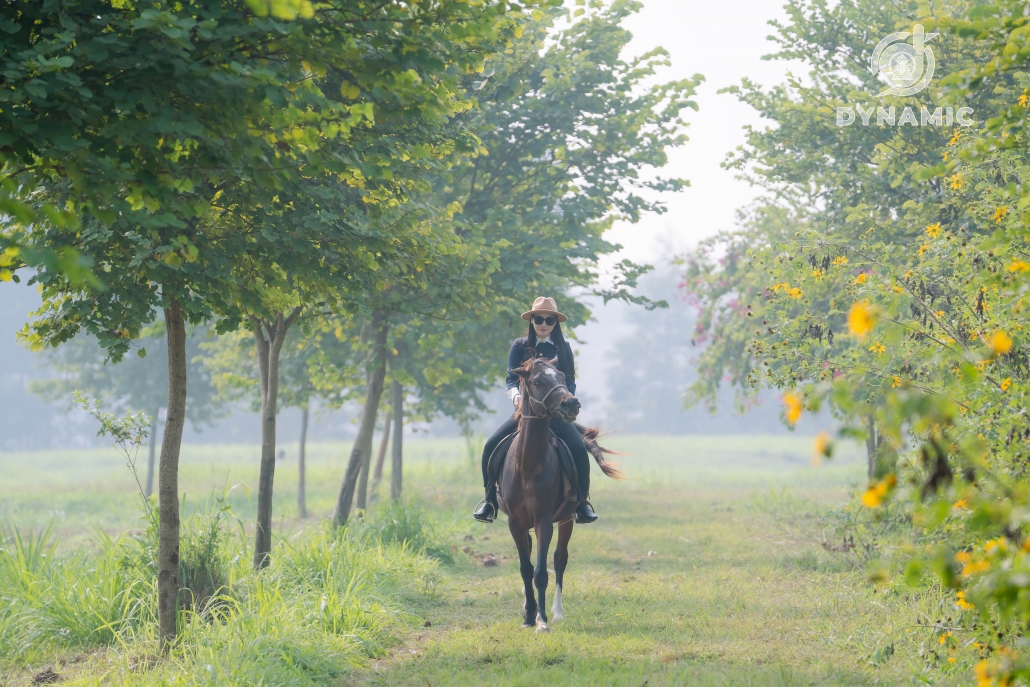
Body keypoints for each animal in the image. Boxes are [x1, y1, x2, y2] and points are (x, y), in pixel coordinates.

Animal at [496, 354, 622, 634]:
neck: (529, 466)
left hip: (566, 519)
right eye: (536, 381)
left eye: (563, 377)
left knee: (559, 559)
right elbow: (525, 568)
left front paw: (542, 620)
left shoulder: (544, 521)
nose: (571, 403)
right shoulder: (514, 522)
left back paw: (556, 612)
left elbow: (542, 572)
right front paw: (528, 616)